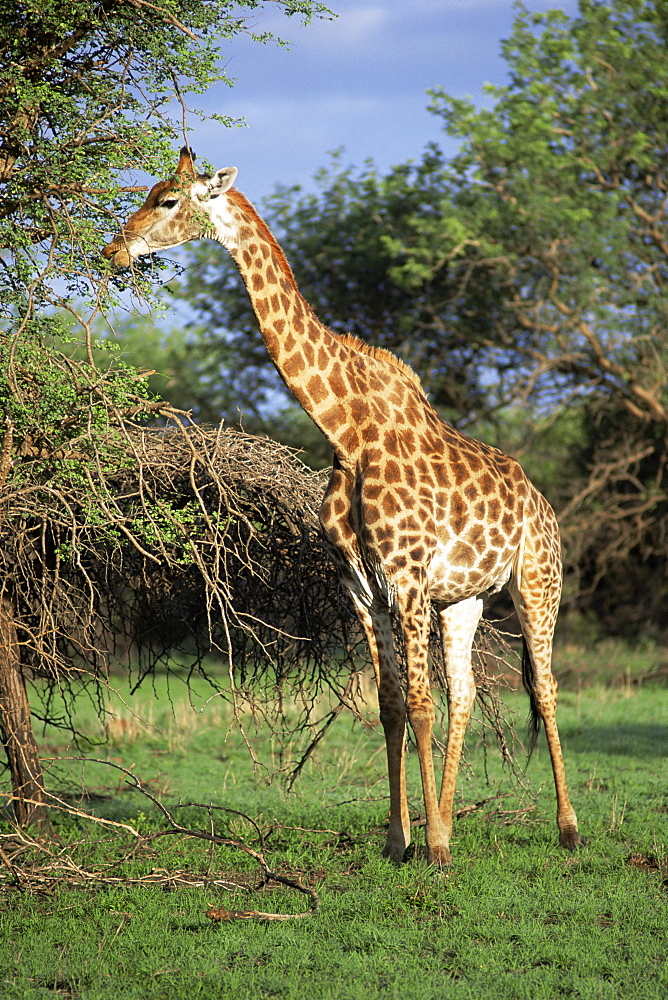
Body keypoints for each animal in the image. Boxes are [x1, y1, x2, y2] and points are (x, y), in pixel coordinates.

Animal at [103, 150, 580, 868]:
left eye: (167, 201)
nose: (113, 248)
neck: (346, 431)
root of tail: (546, 508)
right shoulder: (362, 586)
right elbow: (389, 705)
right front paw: (401, 839)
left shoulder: (405, 578)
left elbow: (418, 705)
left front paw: (432, 850)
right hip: (463, 600)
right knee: (467, 695)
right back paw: (453, 821)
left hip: (535, 584)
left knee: (545, 692)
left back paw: (566, 829)